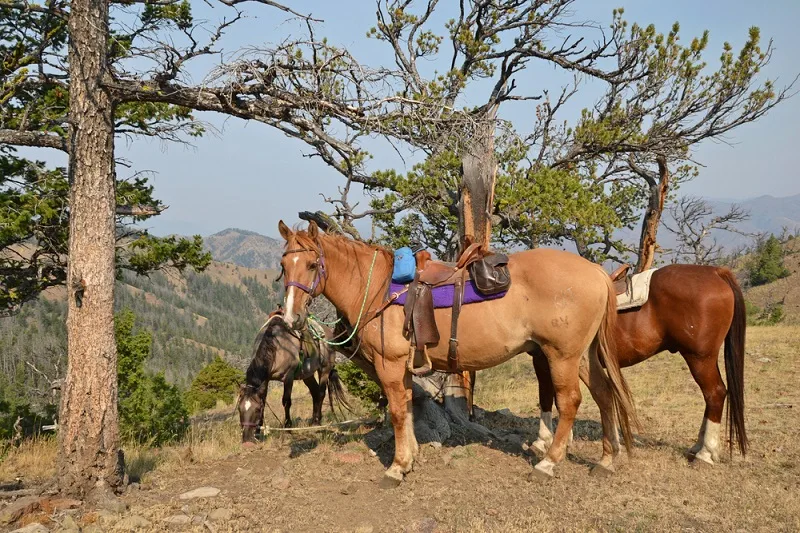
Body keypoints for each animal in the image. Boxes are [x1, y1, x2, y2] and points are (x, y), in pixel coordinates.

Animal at [238, 310, 350, 442]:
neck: (277, 347)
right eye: (239, 409)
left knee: (321, 393)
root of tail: (328, 333)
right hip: (307, 375)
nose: (246, 438)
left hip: (325, 369)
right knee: (315, 392)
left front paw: (288, 427)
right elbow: (263, 401)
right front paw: (258, 432)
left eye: (256, 410)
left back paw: (317, 421)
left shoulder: (289, 377)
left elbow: (286, 401)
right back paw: (314, 420)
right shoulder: (265, 380)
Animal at [278, 218, 640, 484]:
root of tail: (595, 271)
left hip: (561, 356)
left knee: (571, 402)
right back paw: (607, 459)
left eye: (312, 265)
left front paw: (396, 467)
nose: (292, 317)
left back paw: (548, 463)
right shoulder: (404, 368)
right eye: (284, 264)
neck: (379, 288)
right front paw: (410, 459)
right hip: (582, 356)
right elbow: (407, 408)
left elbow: (397, 412)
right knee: (604, 393)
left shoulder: (389, 365)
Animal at [528, 264, 748, 464]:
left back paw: (706, 453)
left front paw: (543, 441)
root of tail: (715, 272)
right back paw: (698, 447)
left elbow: (547, 396)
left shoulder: (546, 359)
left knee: (715, 393)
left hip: (699, 358)